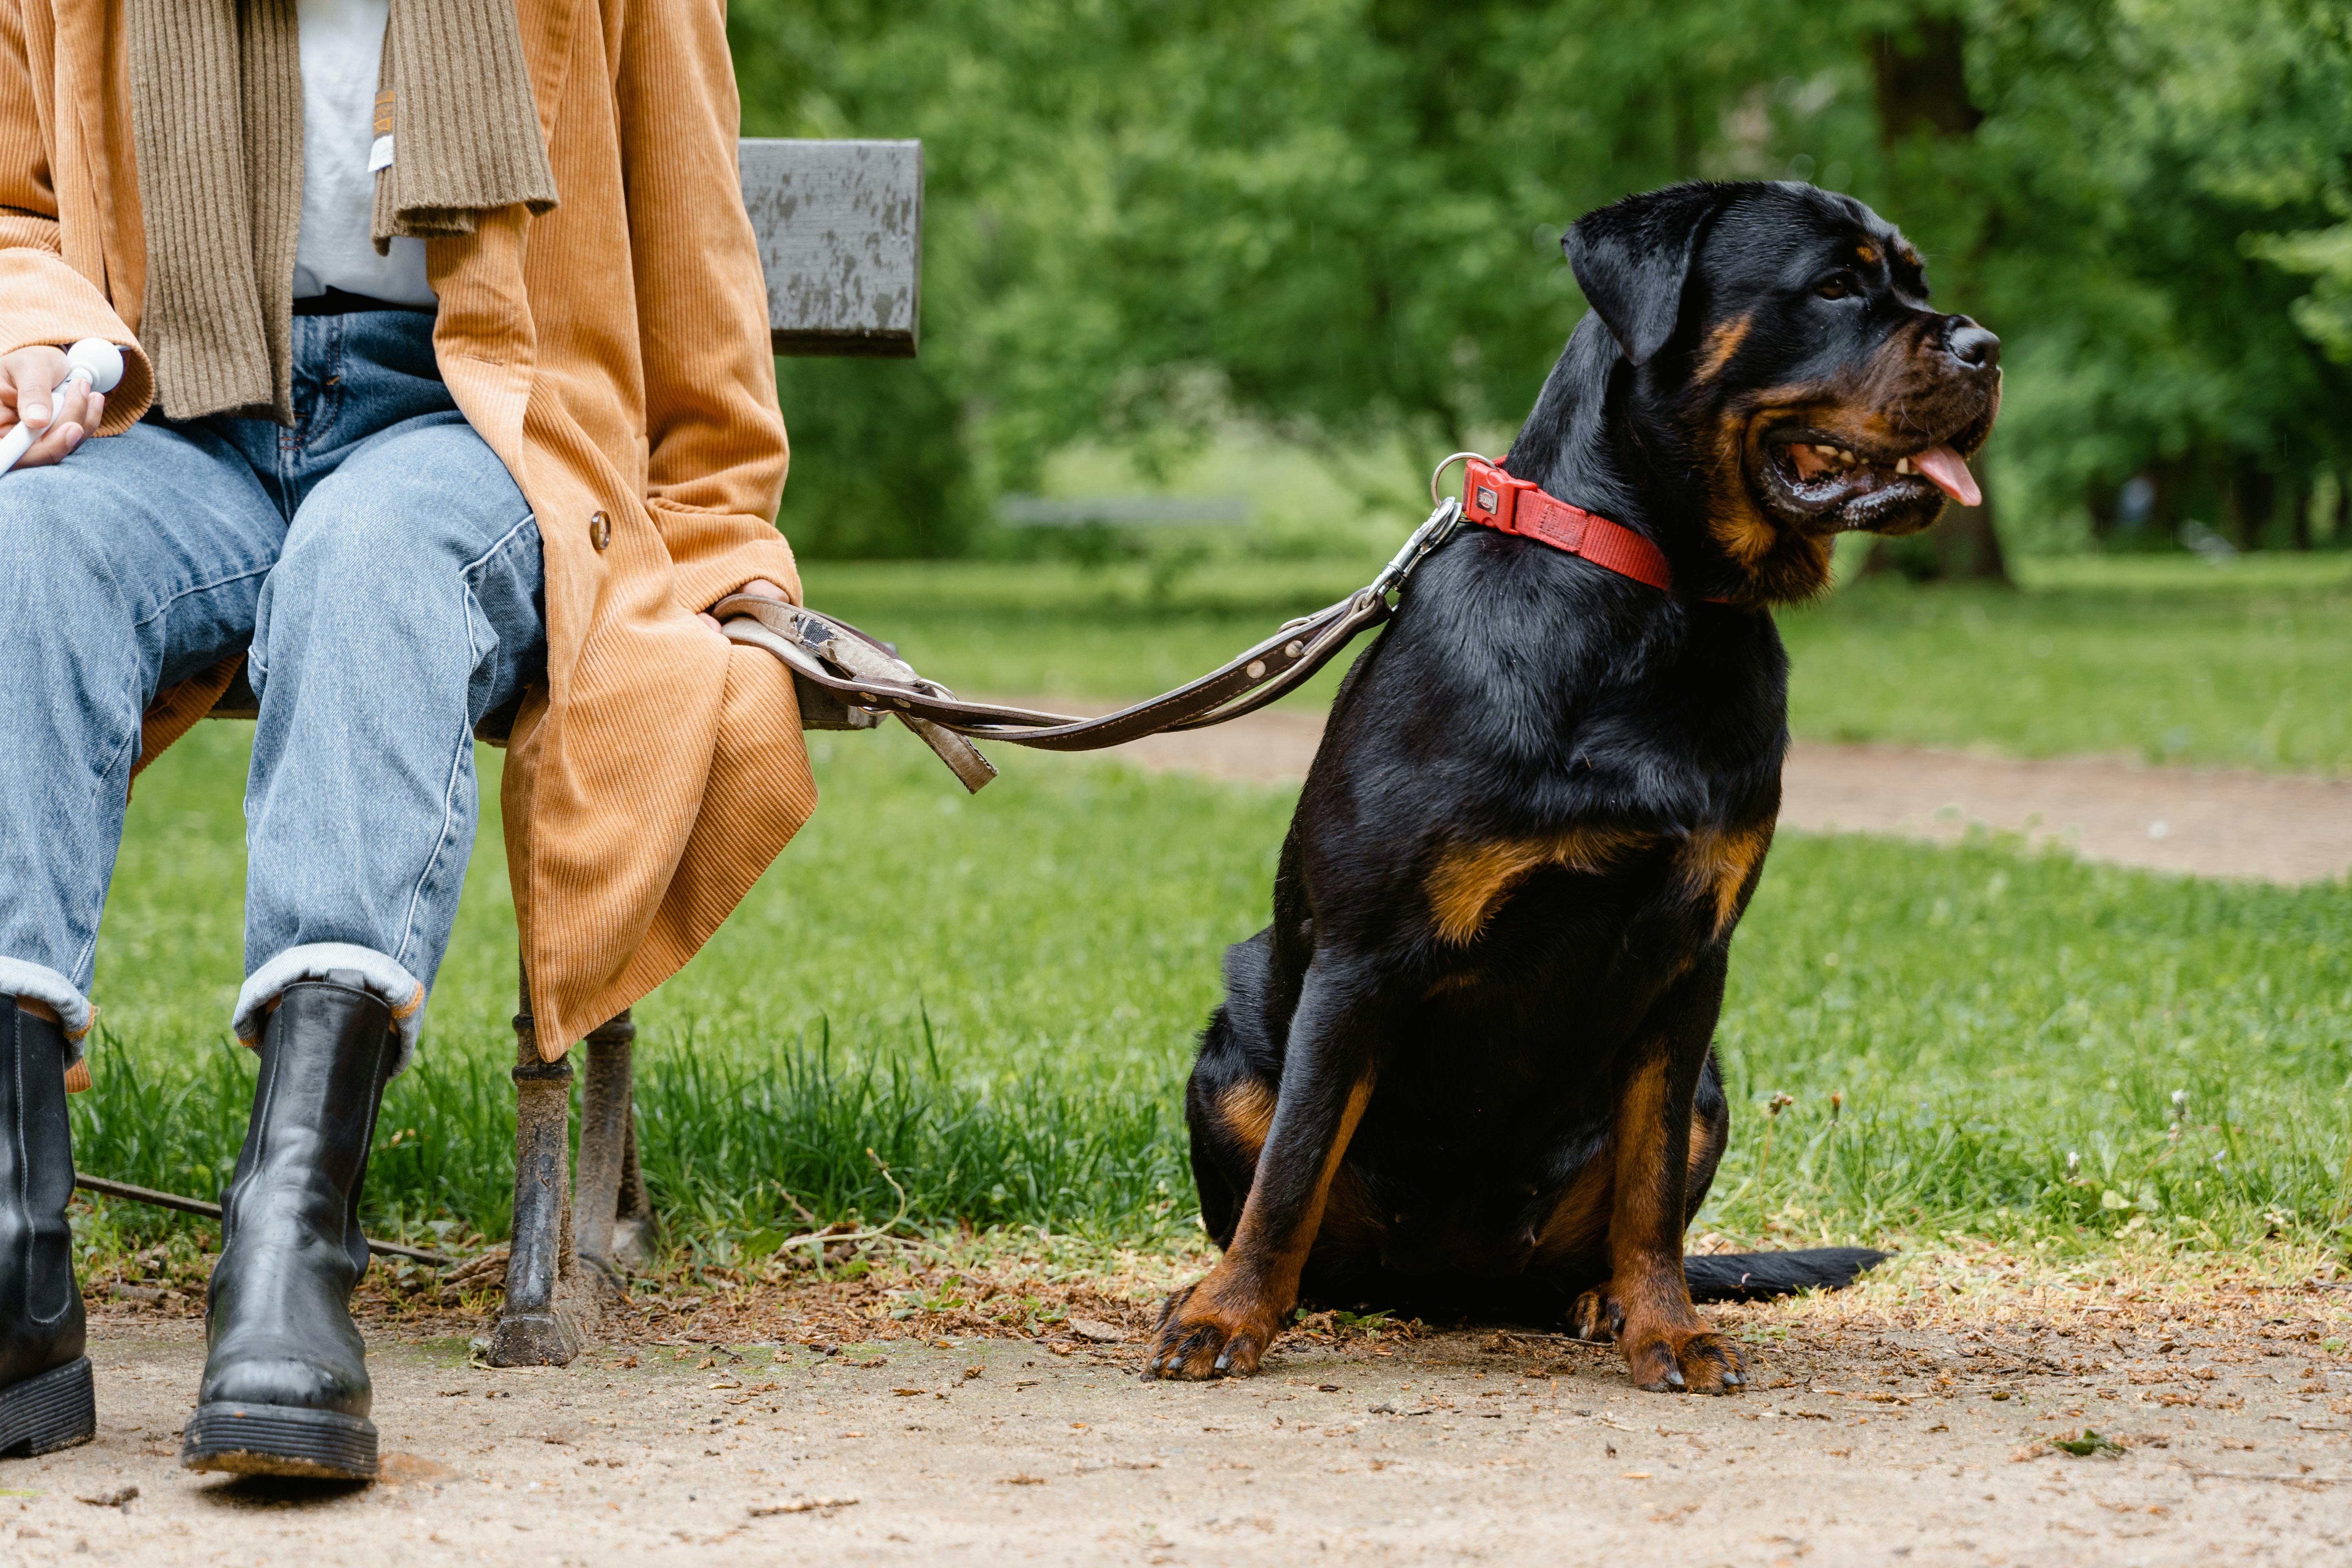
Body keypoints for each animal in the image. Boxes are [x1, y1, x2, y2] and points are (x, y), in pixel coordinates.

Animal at [1148, 177, 1994, 1391]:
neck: (1658, 601)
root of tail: (1454, 1287)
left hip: (1710, 1088)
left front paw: (1665, 1325)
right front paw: (1227, 1314)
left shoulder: (1690, 958)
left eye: (1915, 282)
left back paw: (1599, 1301)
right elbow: (1296, 1160)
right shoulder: (1364, 954)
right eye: (1836, 284)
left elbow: (1650, 1190)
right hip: (1229, 1058)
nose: (1984, 346)